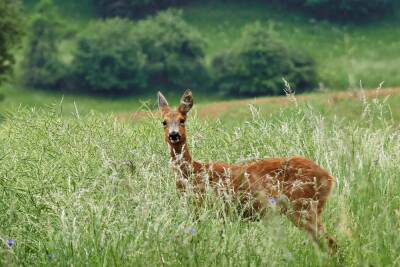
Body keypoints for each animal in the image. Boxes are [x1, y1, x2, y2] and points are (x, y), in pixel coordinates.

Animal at [158, 89, 336, 253]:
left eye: (182, 120)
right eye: (164, 122)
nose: (174, 135)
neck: (194, 173)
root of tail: (329, 178)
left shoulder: (215, 209)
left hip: (303, 206)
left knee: (330, 242)